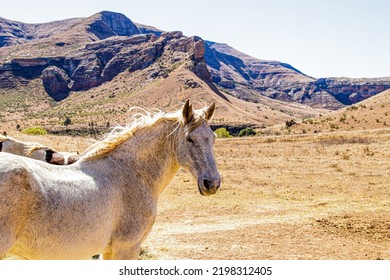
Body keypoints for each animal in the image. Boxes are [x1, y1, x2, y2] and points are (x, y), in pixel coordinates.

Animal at [0, 99, 219, 260]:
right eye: (189, 138)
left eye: (213, 138)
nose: (212, 183)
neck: (129, 172)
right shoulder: (127, 249)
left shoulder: (108, 251)